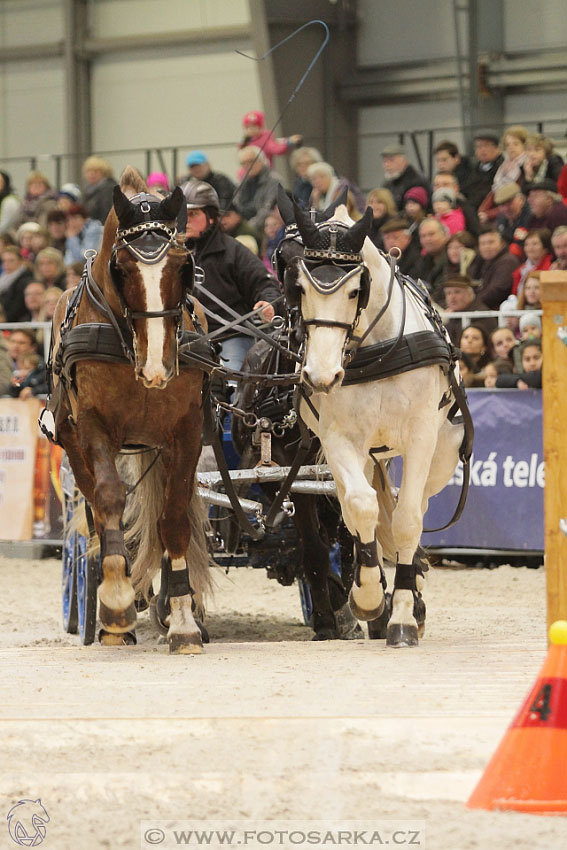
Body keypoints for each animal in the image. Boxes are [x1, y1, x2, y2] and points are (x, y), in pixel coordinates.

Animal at [48, 169, 211, 652]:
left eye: (183, 267)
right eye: (121, 269)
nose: (157, 365)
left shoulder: (186, 431)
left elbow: (172, 520)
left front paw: (183, 620)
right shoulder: (94, 427)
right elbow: (110, 499)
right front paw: (117, 602)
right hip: (74, 445)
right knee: (100, 513)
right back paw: (112, 611)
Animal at [284, 204, 470, 644]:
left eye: (356, 290)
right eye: (299, 288)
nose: (320, 376)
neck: (379, 351)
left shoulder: (421, 437)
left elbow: (407, 521)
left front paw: (403, 615)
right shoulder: (339, 440)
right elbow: (360, 507)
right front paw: (369, 596)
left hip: (440, 455)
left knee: (416, 508)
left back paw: (412, 598)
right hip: (358, 455)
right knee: (356, 508)